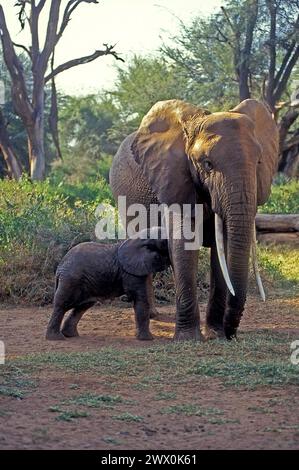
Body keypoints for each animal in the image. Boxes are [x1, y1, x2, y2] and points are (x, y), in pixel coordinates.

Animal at [110, 100, 282, 342]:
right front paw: (189, 338)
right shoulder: (174, 179)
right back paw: (152, 315)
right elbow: (184, 242)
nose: (231, 335)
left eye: (259, 162)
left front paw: (215, 334)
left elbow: (223, 249)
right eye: (207, 164)